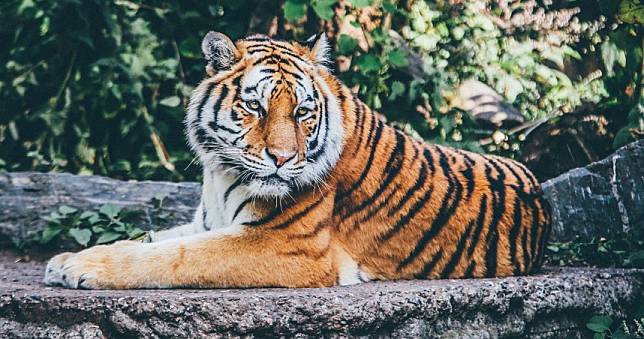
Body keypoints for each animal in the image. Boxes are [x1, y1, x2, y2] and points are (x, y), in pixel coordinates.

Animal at [42, 31, 552, 290]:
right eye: (255, 106)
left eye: (303, 112)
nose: (283, 159)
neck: (220, 172)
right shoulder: (208, 221)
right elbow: (149, 239)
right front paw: (66, 259)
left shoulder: (286, 245)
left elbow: (174, 257)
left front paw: (81, 268)